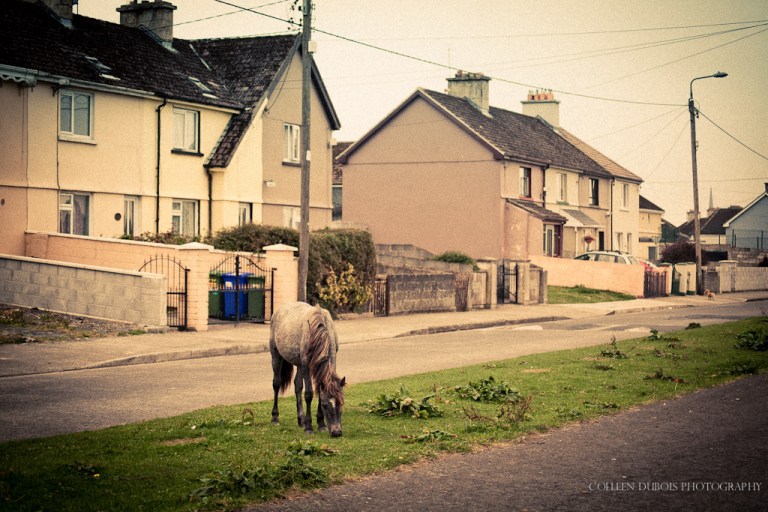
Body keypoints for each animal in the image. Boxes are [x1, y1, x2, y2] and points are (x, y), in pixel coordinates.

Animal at [269, 302, 346, 437]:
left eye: (341, 402)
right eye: (325, 405)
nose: (336, 432)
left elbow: (318, 392)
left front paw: (321, 424)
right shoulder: (306, 365)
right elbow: (309, 394)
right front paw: (309, 427)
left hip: (298, 364)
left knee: (297, 385)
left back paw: (301, 420)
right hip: (276, 355)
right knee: (276, 383)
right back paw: (275, 418)